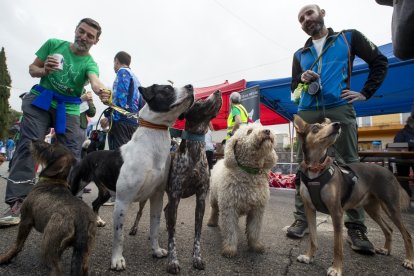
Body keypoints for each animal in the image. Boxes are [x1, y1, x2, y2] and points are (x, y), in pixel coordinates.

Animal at [0, 141, 96, 274]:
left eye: (51, 148)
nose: (33, 140)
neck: (54, 180)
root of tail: (81, 220)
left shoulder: (26, 220)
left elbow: (17, 245)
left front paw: (5, 258)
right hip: (84, 254)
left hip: (48, 244)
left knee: (57, 269)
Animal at [110, 83, 194, 270]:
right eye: (167, 88)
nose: (191, 86)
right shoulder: (122, 201)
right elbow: (119, 235)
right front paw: (117, 259)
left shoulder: (157, 197)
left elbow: (154, 228)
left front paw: (156, 250)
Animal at [165, 90, 223, 274]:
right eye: (198, 101)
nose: (218, 91)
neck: (195, 151)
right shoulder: (175, 196)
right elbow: (172, 238)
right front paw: (172, 261)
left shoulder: (201, 198)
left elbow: (197, 234)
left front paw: (197, 257)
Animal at [207, 124, 278, 258]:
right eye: (249, 131)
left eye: (261, 126)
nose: (267, 131)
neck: (249, 173)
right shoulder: (229, 208)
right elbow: (230, 230)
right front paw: (230, 249)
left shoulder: (257, 210)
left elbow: (254, 230)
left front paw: (256, 246)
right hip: (213, 198)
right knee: (214, 210)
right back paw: (212, 222)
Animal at [294, 115, 414, 276]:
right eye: (316, 128)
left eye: (327, 124)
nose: (337, 125)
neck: (316, 169)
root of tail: (389, 172)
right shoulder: (309, 209)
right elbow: (313, 238)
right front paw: (308, 257)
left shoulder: (336, 212)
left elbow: (337, 246)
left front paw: (337, 268)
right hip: (372, 209)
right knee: (389, 229)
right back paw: (386, 250)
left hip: (391, 207)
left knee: (407, 234)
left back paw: (409, 261)